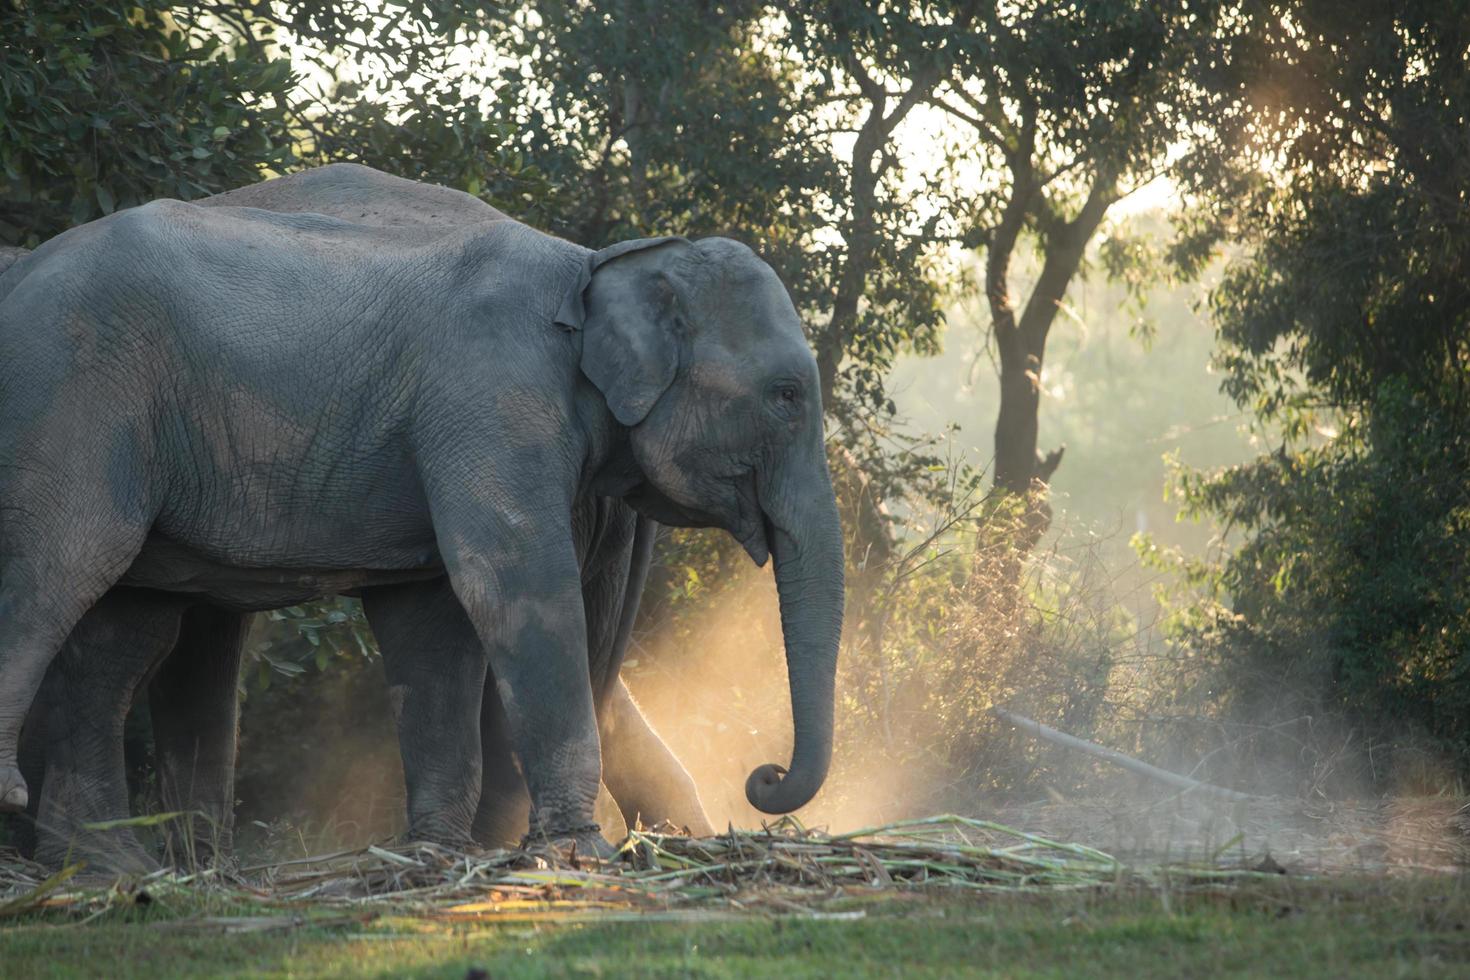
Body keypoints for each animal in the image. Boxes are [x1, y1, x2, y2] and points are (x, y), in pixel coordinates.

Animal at [0, 163, 846, 858]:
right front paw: (577, 856)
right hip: (75, 403)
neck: (591, 262)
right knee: (56, 573)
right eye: (787, 395)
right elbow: (511, 582)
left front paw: (435, 857)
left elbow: (432, 618)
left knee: (119, 637)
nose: (763, 777)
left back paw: (115, 870)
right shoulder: (492, 399)